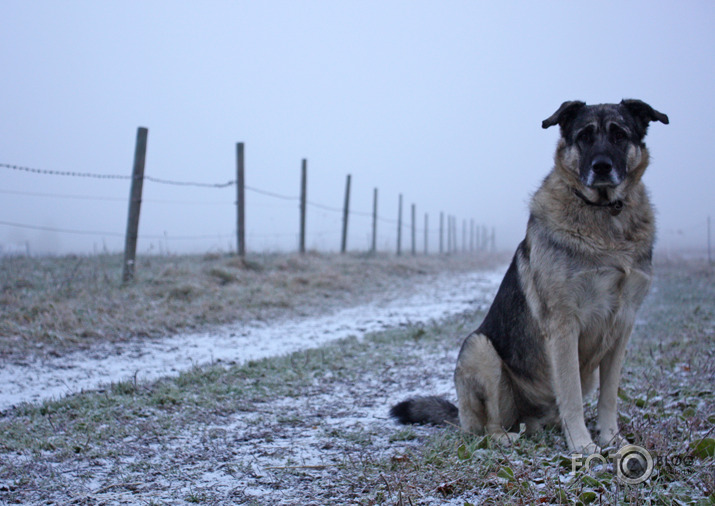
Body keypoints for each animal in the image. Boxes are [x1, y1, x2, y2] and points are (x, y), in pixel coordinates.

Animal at [388, 100, 668, 454]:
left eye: (619, 135)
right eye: (584, 136)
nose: (602, 167)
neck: (605, 217)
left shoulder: (623, 325)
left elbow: (609, 397)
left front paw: (612, 440)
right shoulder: (564, 325)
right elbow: (571, 395)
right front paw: (582, 445)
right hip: (479, 348)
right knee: (490, 426)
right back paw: (506, 436)